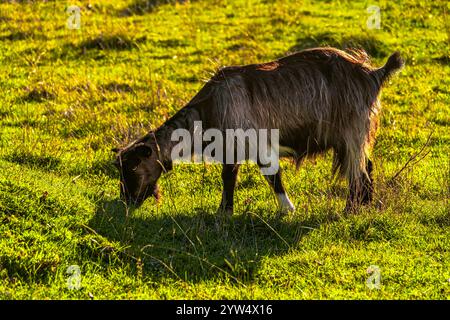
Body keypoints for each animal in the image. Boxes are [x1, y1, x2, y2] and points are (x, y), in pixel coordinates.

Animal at [112, 46, 404, 214]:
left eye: (133, 168)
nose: (126, 201)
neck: (208, 109)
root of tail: (372, 73)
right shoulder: (231, 149)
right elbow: (229, 178)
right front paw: (225, 211)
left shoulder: (253, 141)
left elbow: (271, 175)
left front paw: (287, 209)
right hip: (354, 135)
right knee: (367, 166)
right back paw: (363, 207)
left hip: (352, 130)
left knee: (358, 172)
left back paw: (350, 210)